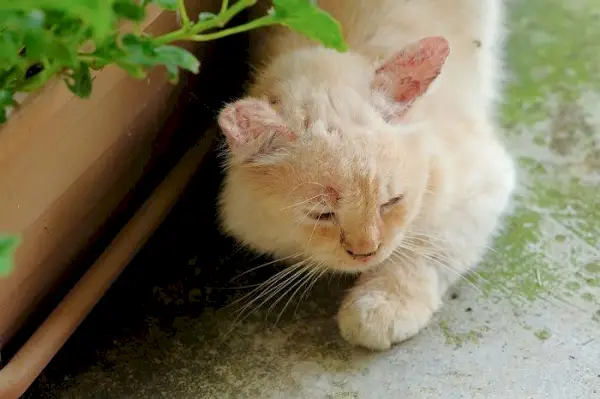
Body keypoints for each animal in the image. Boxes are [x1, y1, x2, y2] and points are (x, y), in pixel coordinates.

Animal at [214, 0, 516, 350]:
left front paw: (382, 306)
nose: (366, 253)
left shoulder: (482, 178)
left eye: (392, 201)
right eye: (322, 214)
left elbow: (425, 246)